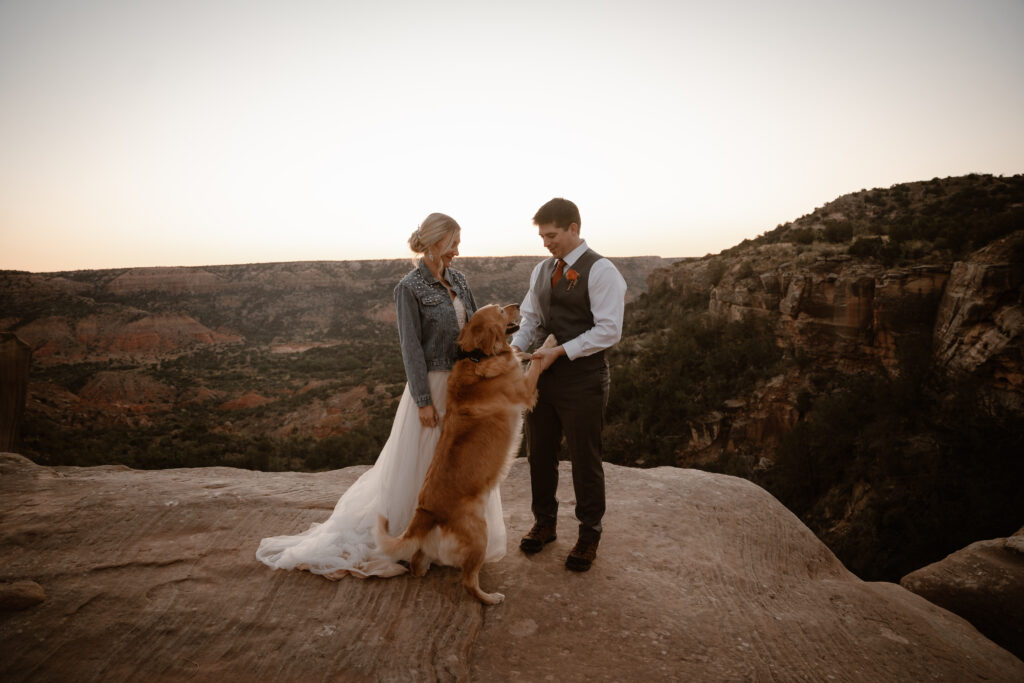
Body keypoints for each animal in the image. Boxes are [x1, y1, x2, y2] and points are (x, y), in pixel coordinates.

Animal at [374, 303, 557, 602]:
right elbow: (537, 363)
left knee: (417, 563)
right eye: (499, 310)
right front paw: (550, 343)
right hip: (479, 533)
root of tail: (425, 511)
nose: (517, 305)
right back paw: (490, 598)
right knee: (468, 582)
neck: (476, 357)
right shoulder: (524, 389)